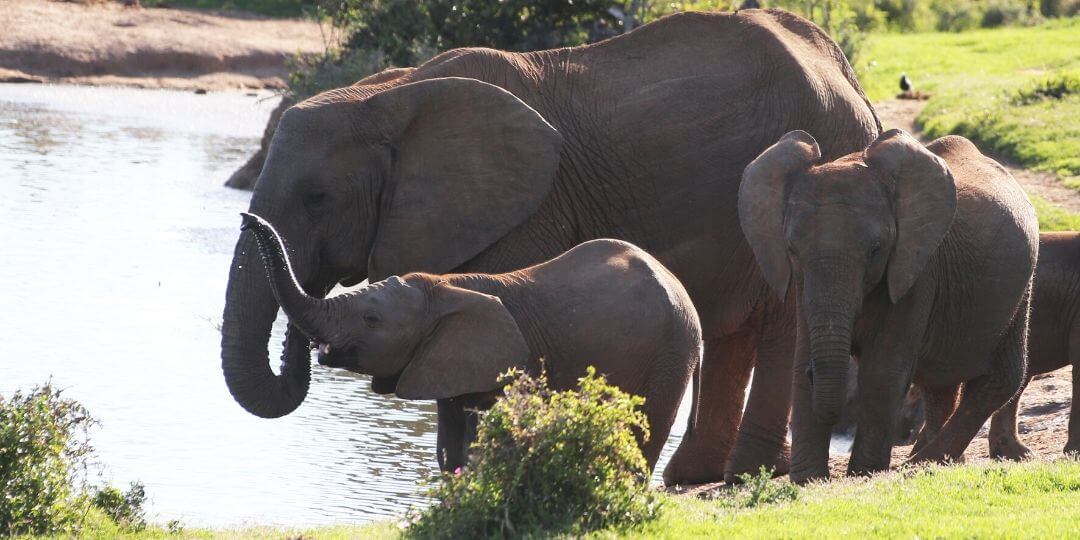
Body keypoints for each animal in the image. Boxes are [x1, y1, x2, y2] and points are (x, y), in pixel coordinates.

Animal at [240, 212, 703, 472]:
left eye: (371, 319)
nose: (246, 217)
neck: (444, 287)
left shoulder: (510, 365)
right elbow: (451, 450)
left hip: (670, 354)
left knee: (645, 433)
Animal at [739, 129, 1038, 482]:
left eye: (876, 249)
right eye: (791, 249)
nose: (817, 373)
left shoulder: (916, 269)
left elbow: (882, 371)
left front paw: (864, 474)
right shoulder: (801, 282)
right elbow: (799, 366)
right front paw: (809, 478)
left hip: (1022, 284)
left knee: (1001, 378)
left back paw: (923, 462)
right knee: (941, 386)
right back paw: (936, 461)